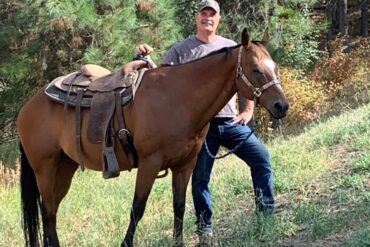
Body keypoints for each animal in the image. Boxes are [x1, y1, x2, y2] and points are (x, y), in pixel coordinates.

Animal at [18, 29, 290, 247]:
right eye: (256, 70)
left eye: (275, 67)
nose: (282, 106)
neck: (178, 98)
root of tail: (27, 108)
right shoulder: (150, 163)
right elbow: (137, 208)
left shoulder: (185, 164)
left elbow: (179, 206)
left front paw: (178, 242)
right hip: (45, 169)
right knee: (48, 211)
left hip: (65, 167)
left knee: (51, 212)